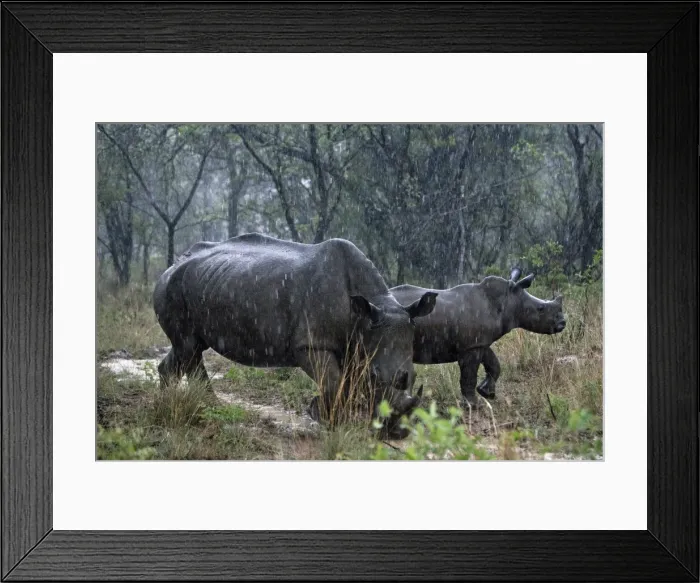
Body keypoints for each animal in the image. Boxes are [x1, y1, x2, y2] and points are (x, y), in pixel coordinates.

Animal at [153, 233, 437, 437]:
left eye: (413, 377)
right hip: (172, 288)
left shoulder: (357, 343)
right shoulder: (310, 344)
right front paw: (333, 422)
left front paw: (332, 417)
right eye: (376, 376)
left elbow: (344, 383)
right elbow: (333, 382)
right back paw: (208, 408)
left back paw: (169, 402)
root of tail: (172, 265)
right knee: (189, 347)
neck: (369, 310)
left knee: (187, 348)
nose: (398, 432)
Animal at [390, 268, 566, 406]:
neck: (507, 301)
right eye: (540, 309)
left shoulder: (480, 342)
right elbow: (469, 375)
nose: (562, 323)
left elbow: (494, 365)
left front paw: (486, 393)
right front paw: (473, 405)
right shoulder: (471, 346)